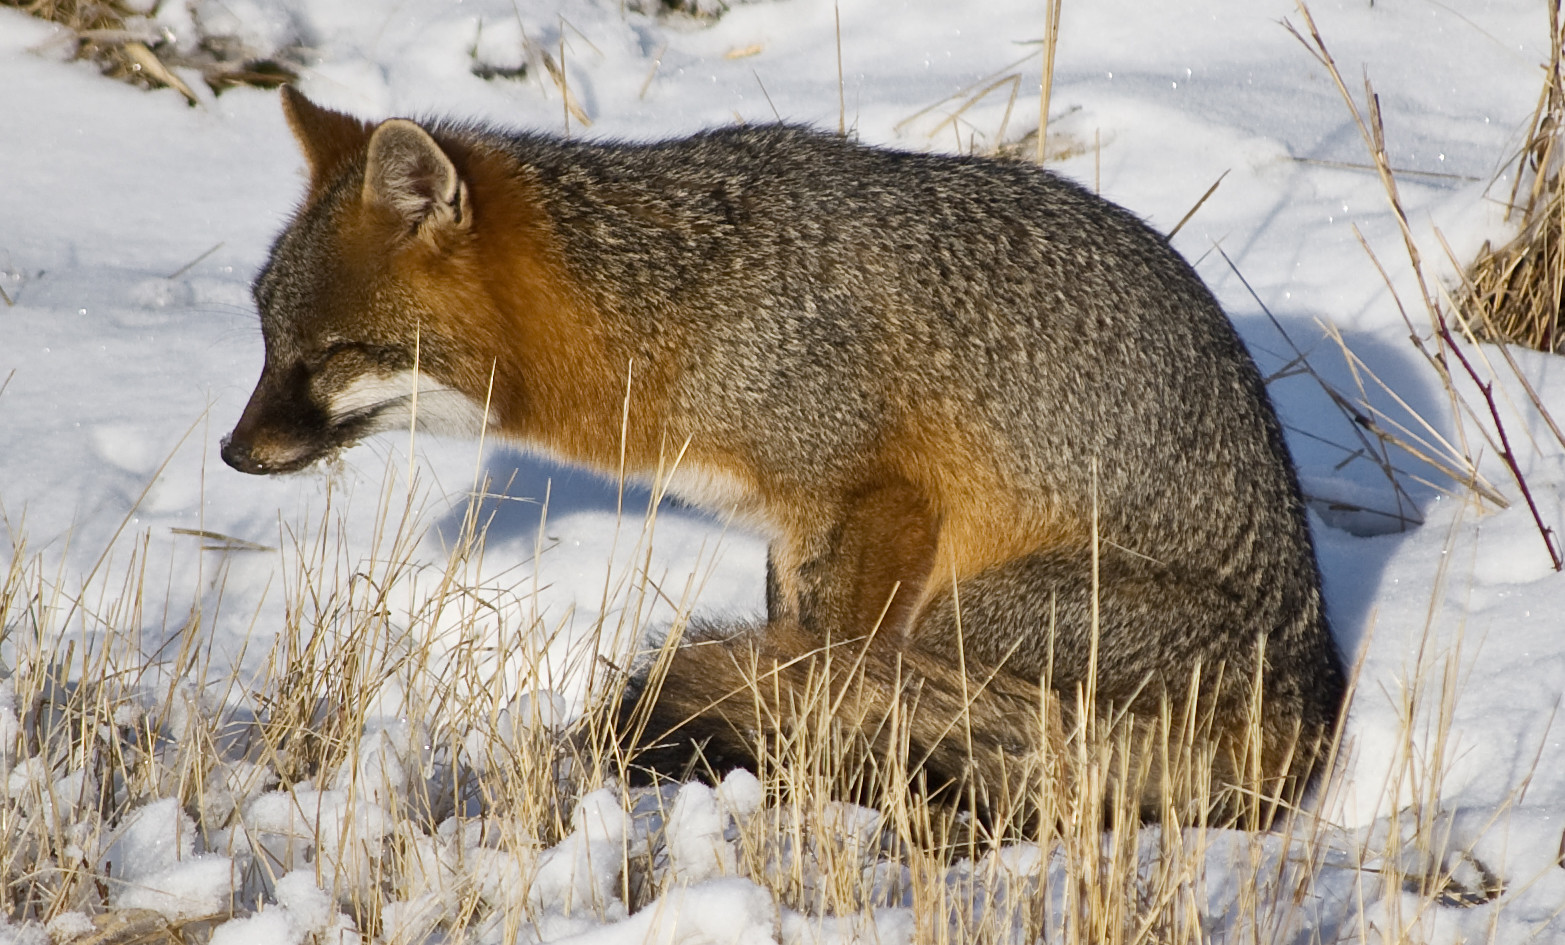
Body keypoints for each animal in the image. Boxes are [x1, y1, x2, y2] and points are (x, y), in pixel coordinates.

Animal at [223, 86, 1347, 826]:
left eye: (327, 356)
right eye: (266, 338)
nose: (234, 452)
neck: (680, 309)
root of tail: (1311, 701)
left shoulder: (872, 502)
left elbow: (821, 667)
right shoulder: (783, 527)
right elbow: (789, 642)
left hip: (962, 615)